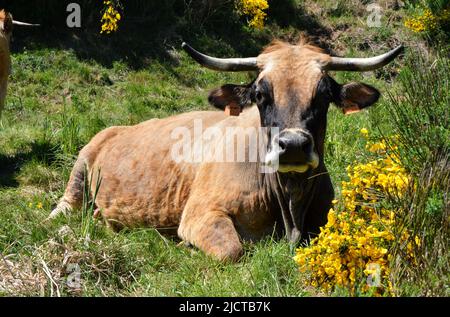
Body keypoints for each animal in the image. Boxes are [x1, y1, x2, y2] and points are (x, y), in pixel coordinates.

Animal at [49, 39, 400, 260]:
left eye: (325, 95)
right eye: (260, 95)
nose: (293, 146)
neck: (289, 203)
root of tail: (119, 127)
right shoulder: (199, 214)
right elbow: (233, 250)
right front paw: (182, 247)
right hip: (80, 171)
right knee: (65, 207)